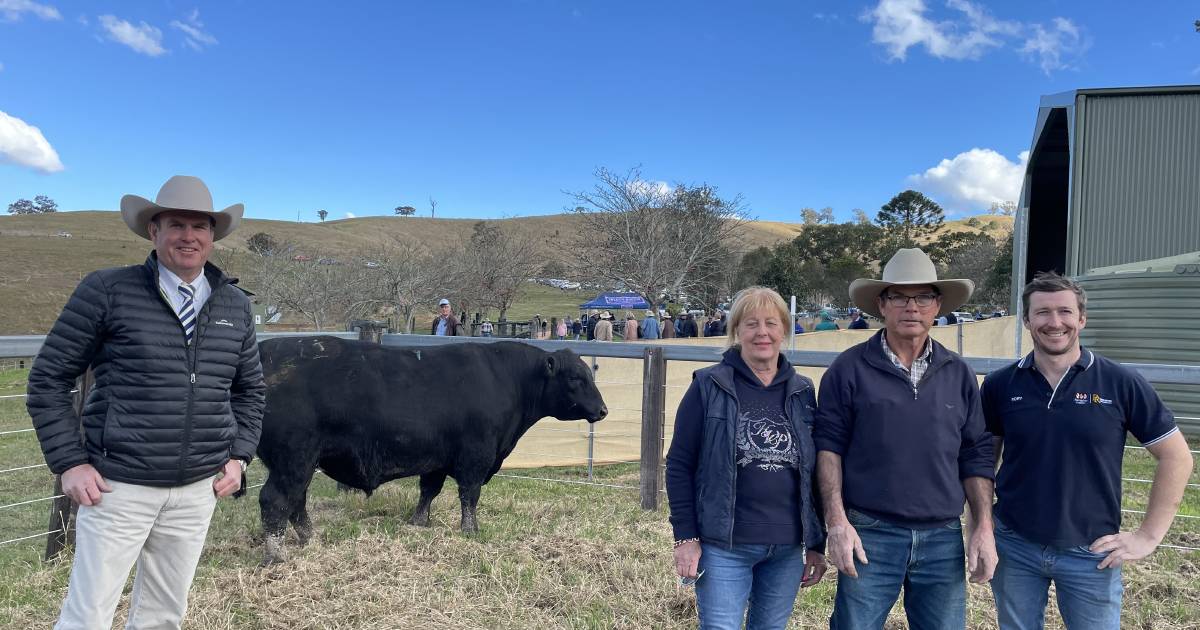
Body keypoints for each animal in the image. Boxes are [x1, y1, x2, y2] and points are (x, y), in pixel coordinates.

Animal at [254, 336, 609, 561]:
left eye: (590, 374)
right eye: (575, 378)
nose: (604, 410)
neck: (508, 380)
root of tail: (267, 351)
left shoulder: (438, 459)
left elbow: (429, 491)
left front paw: (418, 522)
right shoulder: (476, 456)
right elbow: (469, 495)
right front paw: (470, 530)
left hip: (299, 462)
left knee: (296, 501)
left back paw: (309, 539)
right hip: (293, 458)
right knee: (275, 500)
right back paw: (276, 555)